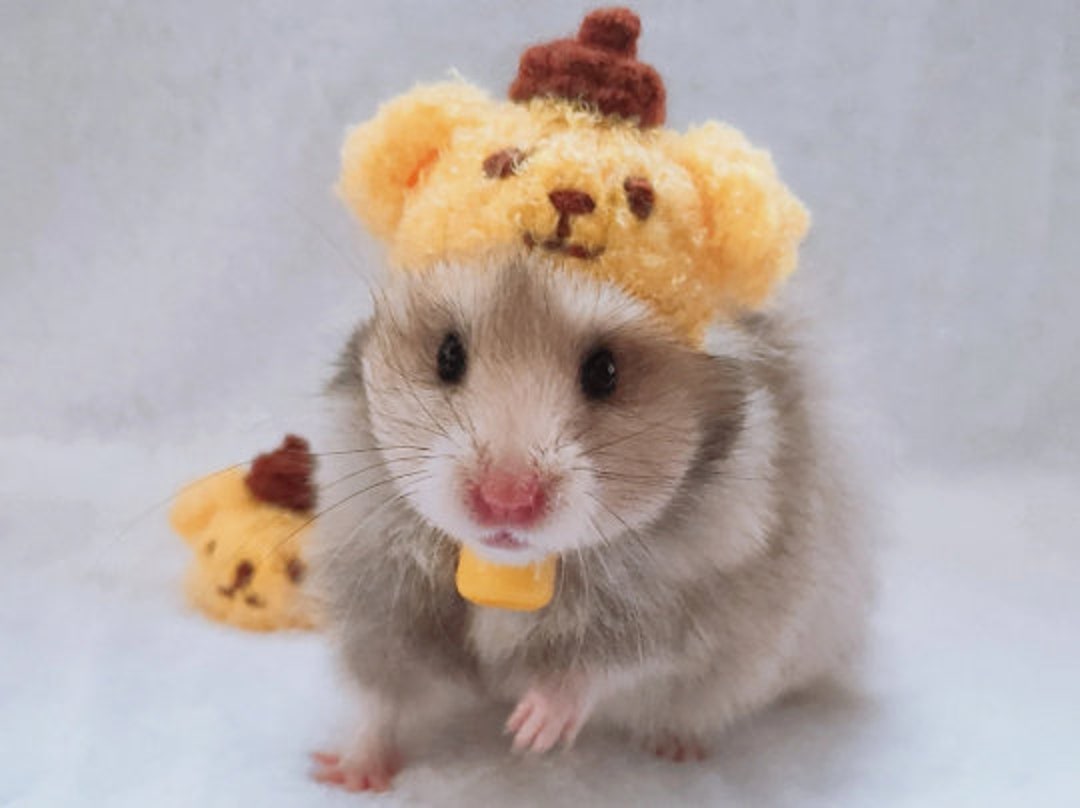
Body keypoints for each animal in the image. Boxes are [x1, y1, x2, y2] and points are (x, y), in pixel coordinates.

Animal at [308, 258, 872, 791]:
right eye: (448, 355)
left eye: (604, 371)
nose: (505, 499)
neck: (510, 569)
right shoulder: (380, 604)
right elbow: (382, 703)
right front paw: (343, 774)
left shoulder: (680, 613)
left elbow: (597, 667)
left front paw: (530, 730)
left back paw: (677, 748)